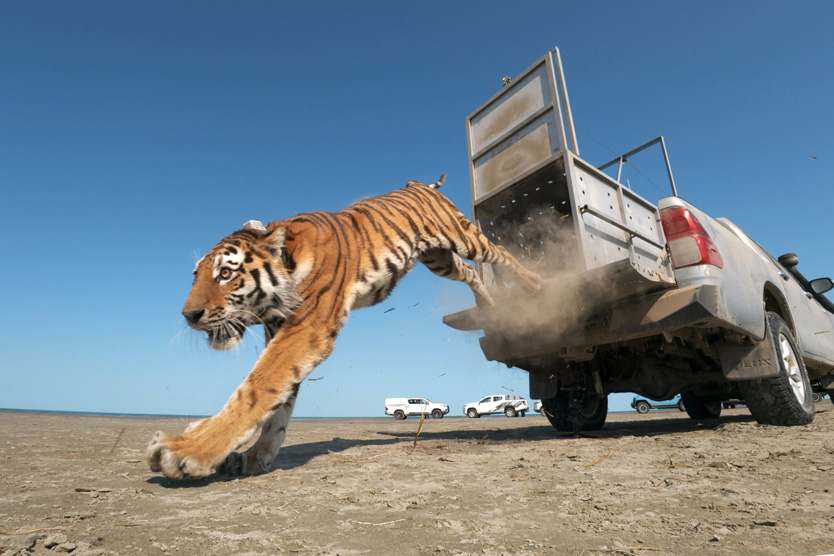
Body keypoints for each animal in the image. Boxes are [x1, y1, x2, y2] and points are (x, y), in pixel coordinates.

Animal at [148, 174, 541, 479]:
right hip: (438, 258)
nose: (188, 315)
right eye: (196, 274)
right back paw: (488, 307)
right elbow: (279, 401)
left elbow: (257, 387)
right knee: (471, 272)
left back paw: (534, 284)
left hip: (461, 235)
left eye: (225, 274)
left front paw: (187, 449)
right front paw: (257, 456)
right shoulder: (282, 332)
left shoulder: (306, 329)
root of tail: (418, 184)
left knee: (500, 254)